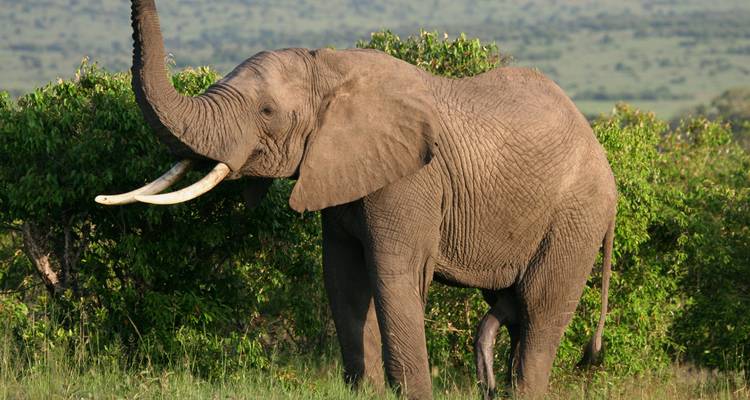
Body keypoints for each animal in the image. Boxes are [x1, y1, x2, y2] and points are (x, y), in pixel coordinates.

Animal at [96, 1, 617, 398]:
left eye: (266, 111)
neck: (328, 68)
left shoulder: (410, 180)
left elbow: (393, 276)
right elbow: (342, 278)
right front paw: (363, 391)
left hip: (576, 217)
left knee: (540, 310)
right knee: (511, 306)